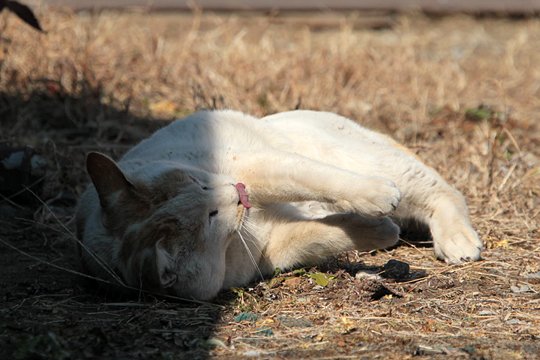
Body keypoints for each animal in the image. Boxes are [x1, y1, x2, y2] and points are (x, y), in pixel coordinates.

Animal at [75, 110, 480, 300]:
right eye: (211, 218)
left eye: (198, 182)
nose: (236, 193)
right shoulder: (280, 247)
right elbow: (329, 234)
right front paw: (379, 230)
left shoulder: (258, 166)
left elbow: (315, 179)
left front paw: (376, 198)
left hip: (371, 159)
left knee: (443, 192)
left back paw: (457, 241)